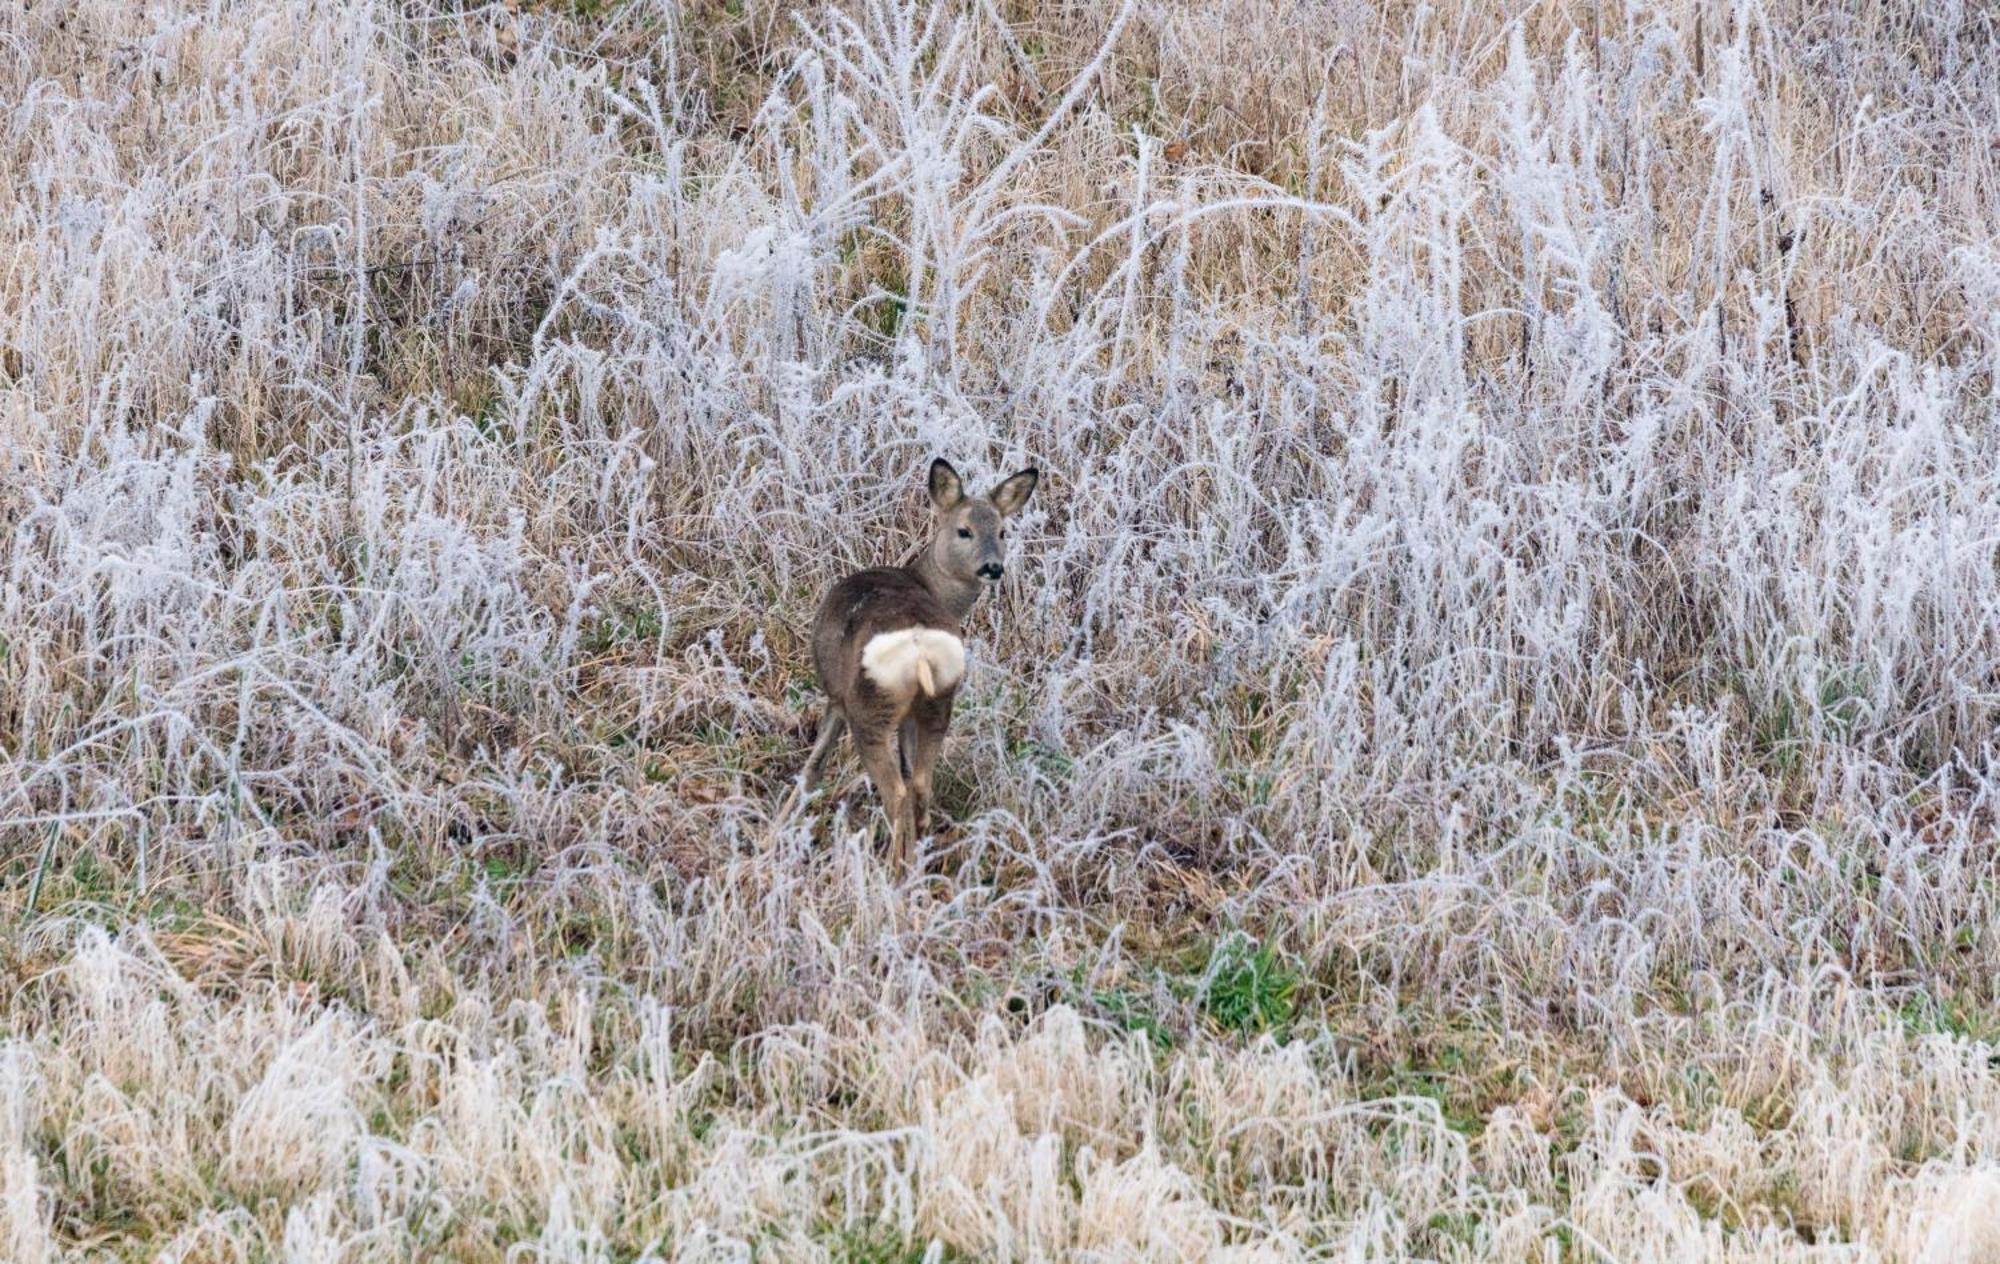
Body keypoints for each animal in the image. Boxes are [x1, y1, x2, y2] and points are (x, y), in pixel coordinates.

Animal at [792, 460, 1040, 872]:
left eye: (1003, 531)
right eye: (964, 530)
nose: (993, 567)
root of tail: (919, 647)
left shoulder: (836, 695)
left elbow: (814, 763)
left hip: (870, 708)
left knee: (895, 791)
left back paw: (892, 868)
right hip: (938, 702)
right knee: (920, 782)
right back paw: (916, 863)